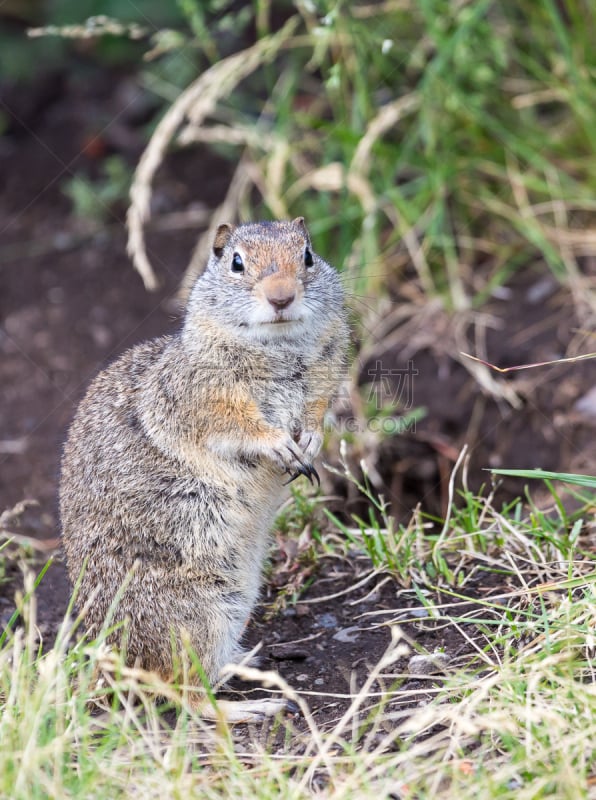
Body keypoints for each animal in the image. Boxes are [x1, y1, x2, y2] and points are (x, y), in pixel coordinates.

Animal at [60, 217, 350, 720]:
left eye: (308, 255)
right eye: (235, 262)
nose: (281, 296)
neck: (278, 350)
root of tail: (116, 664)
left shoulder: (323, 379)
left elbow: (315, 411)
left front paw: (309, 441)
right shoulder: (204, 398)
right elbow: (239, 424)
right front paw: (280, 445)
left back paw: (245, 660)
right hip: (200, 617)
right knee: (186, 695)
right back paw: (253, 707)